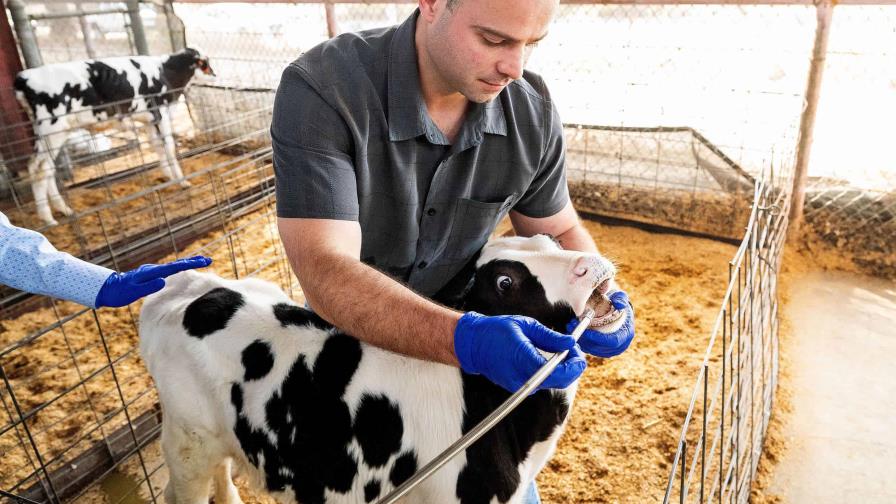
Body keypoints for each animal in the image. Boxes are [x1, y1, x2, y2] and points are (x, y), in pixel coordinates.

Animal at [14, 47, 214, 224]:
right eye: (205, 64)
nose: (214, 75)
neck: (165, 71)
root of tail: (23, 77)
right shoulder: (161, 113)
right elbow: (170, 148)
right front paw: (182, 181)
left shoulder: (150, 119)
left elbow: (157, 147)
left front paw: (168, 177)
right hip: (52, 128)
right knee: (39, 168)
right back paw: (48, 218)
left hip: (49, 133)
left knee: (45, 168)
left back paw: (63, 209)